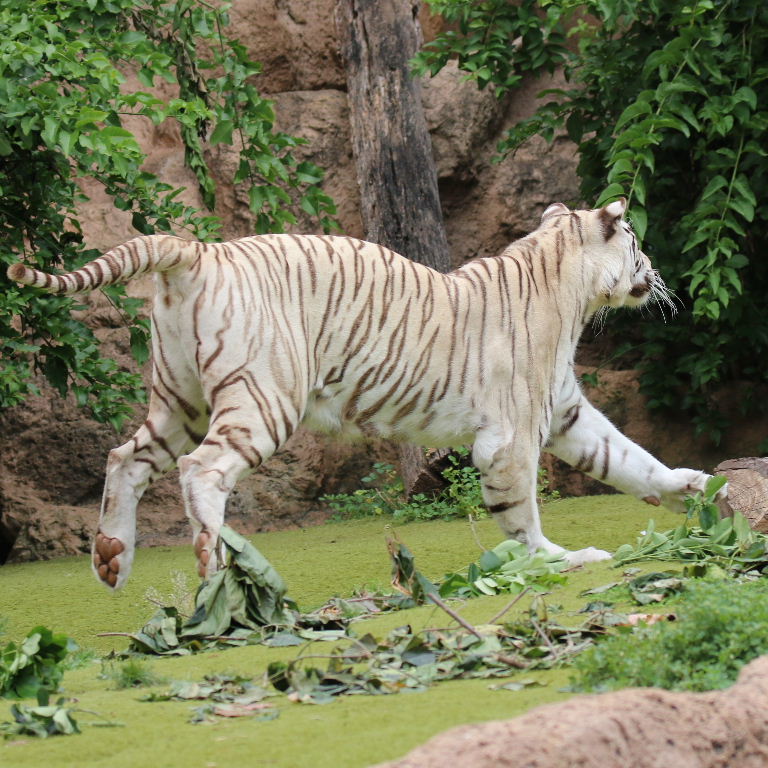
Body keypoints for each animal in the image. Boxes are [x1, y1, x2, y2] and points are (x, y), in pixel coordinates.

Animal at [7, 198, 724, 590]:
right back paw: (215, 567)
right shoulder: (509, 436)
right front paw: (560, 558)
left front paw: (694, 488)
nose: (655, 272)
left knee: (125, 458)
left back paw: (112, 560)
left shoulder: (569, 413)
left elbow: (631, 461)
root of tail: (198, 252)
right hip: (263, 399)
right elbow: (521, 516)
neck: (568, 289)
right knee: (199, 469)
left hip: (179, 398)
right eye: (635, 242)